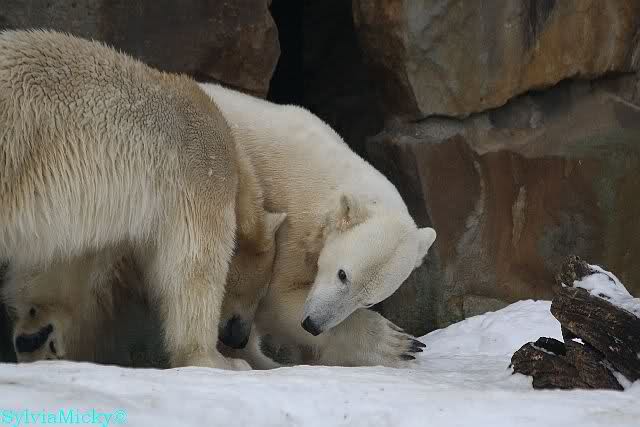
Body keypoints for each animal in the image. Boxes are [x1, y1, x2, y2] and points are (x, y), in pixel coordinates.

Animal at [197, 82, 437, 368]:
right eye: (343, 274)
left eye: (368, 302)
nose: (313, 324)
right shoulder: (293, 223)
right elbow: (278, 298)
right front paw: (398, 343)